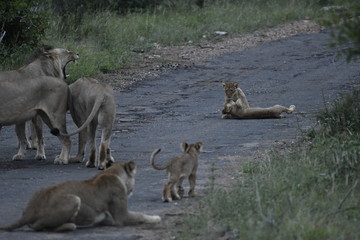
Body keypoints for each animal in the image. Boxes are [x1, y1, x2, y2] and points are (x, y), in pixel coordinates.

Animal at [0, 160, 160, 232]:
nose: (133, 190)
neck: (111, 173)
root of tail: (30, 211)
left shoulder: (109, 219)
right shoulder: (121, 216)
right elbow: (140, 215)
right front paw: (156, 218)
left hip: (39, 190)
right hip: (74, 199)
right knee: (39, 226)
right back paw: (70, 225)